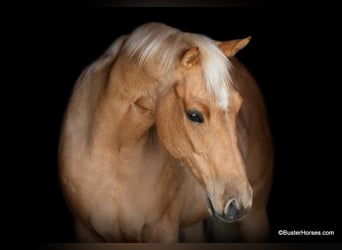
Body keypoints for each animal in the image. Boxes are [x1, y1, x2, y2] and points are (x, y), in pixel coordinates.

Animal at [58, 22, 272, 242]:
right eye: (194, 115)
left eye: (239, 105)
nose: (238, 203)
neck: (115, 151)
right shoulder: (84, 230)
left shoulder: (162, 229)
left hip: (255, 217)